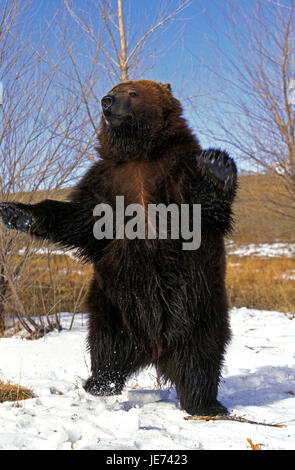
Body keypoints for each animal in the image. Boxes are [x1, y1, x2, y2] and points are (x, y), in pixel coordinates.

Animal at [0, 80, 237, 414]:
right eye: (114, 88)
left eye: (133, 92)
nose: (107, 101)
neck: (139, 154)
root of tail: (155, 347)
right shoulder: (107, 180)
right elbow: (83, 218)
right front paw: (17, 213)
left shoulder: (176, 172)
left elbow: (205, 208)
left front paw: (217, 166)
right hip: (114, 300)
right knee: (107, 343)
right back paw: (101, 383)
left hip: (199, 304)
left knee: (201, 352)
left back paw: (204, 403)